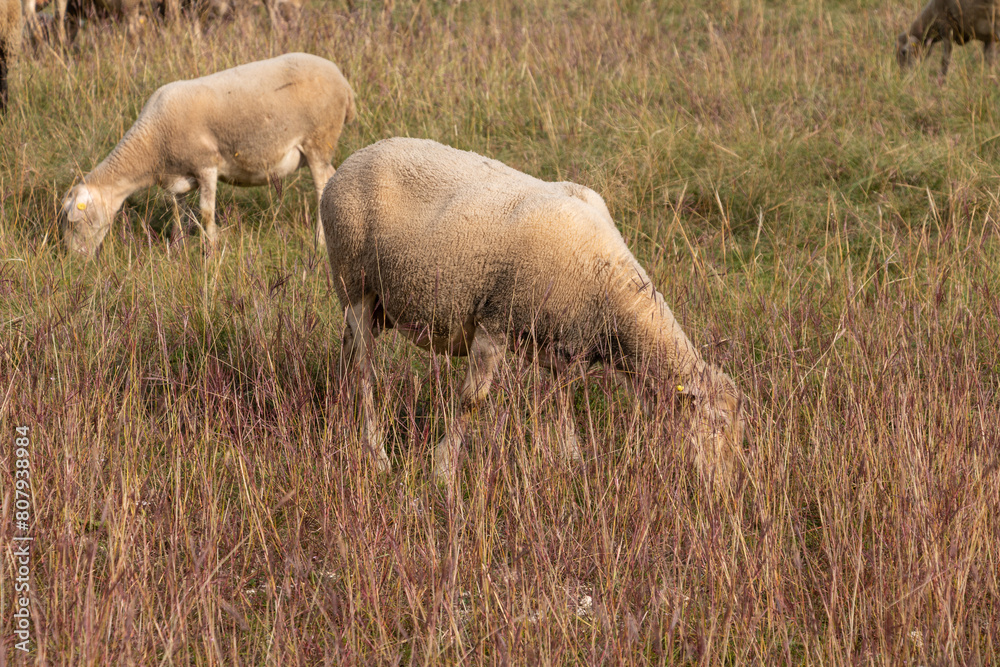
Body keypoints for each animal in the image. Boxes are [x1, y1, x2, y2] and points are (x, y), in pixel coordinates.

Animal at [61, 52, 356, 260]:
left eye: (76, 221)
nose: (75, 260)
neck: (151, 144)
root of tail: (344, 81)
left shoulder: (206, 165)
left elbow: (205, 212)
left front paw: (212, 252)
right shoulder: (175, 177)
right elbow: (177, 213)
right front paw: (176, 248)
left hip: (319, 139)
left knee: (322, 187)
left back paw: (320, 243)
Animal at [324, 137, 748, 490]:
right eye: (717, 423)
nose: (726, 490)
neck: (608, 288)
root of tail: (353, 159)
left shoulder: (564, 346)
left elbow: (561, 403)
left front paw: (572, 462)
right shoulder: (495, 321)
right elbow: (472, 401)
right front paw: (443, 471)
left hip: (371, 303)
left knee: (347, 355)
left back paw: (338, 420)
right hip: (355, 281)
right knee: (364, 371)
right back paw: (376, 454)